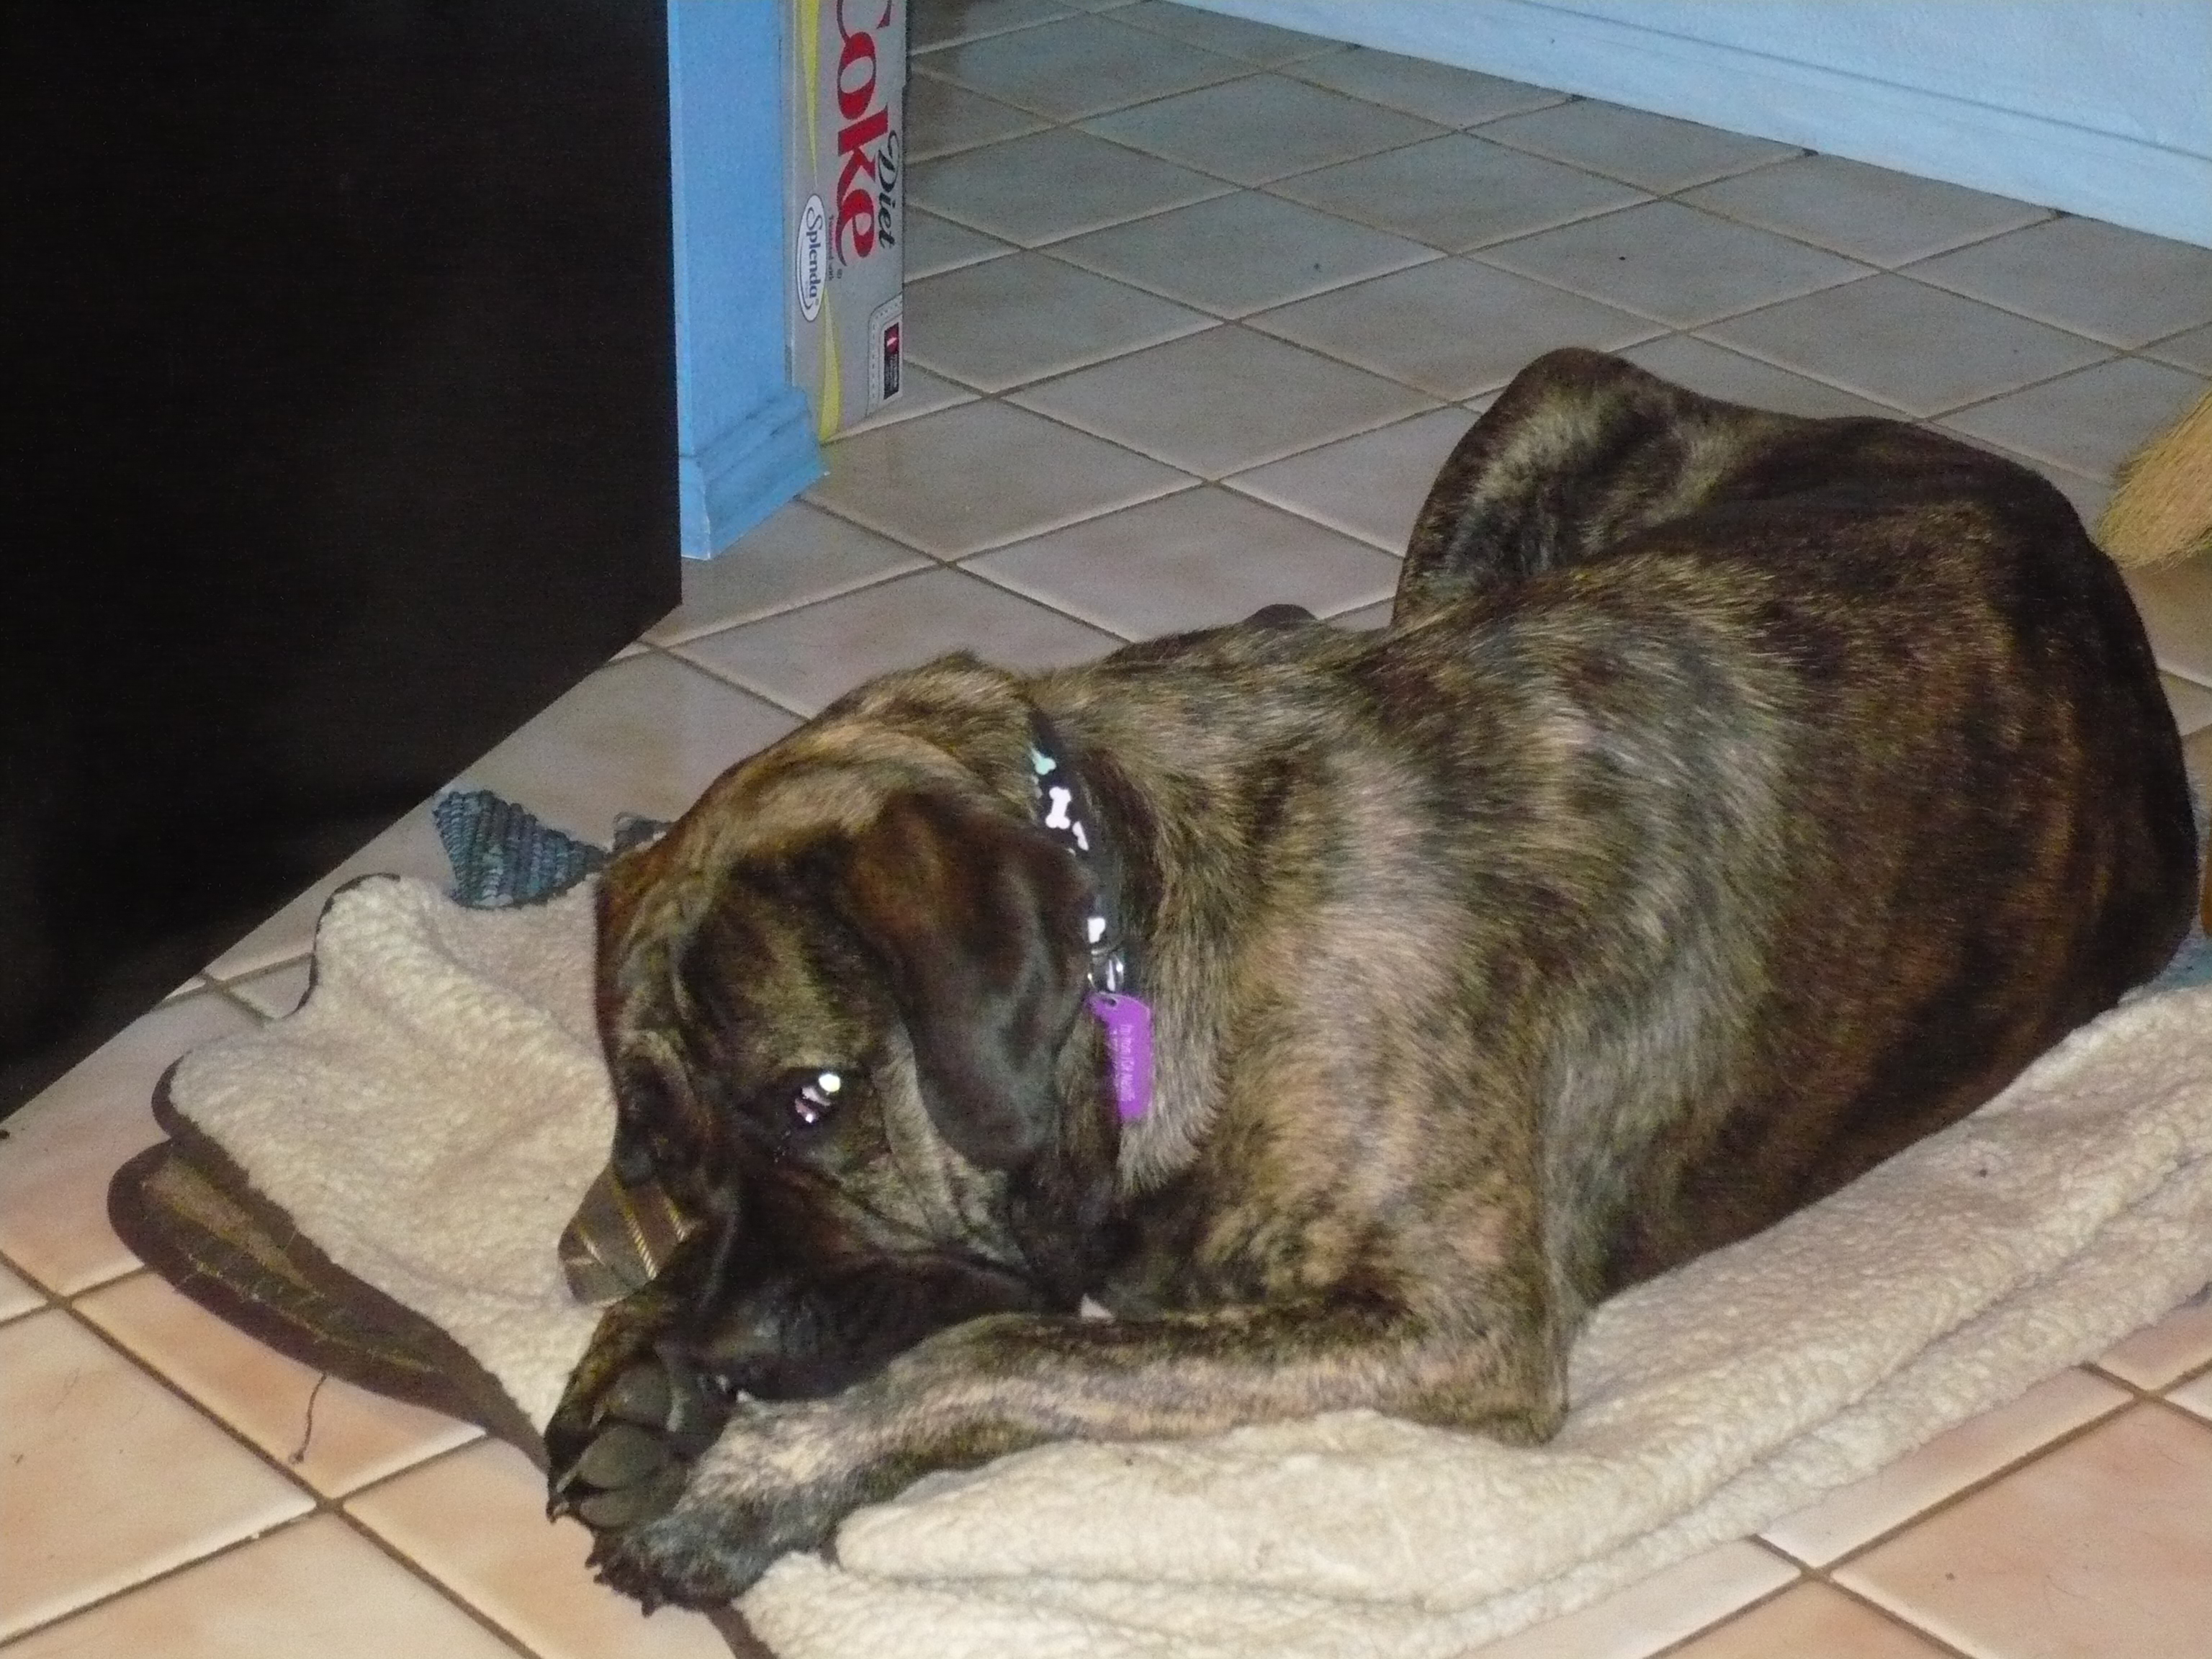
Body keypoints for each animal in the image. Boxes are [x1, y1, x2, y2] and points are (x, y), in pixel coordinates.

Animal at [544, 348, 2199, 1609]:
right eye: (667, 1144)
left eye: (816, 1096)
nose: (726, 1346)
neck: (1148, 931)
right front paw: (642, 1349)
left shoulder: (1448, 1326)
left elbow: (997, 1349)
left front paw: (761, 1474)